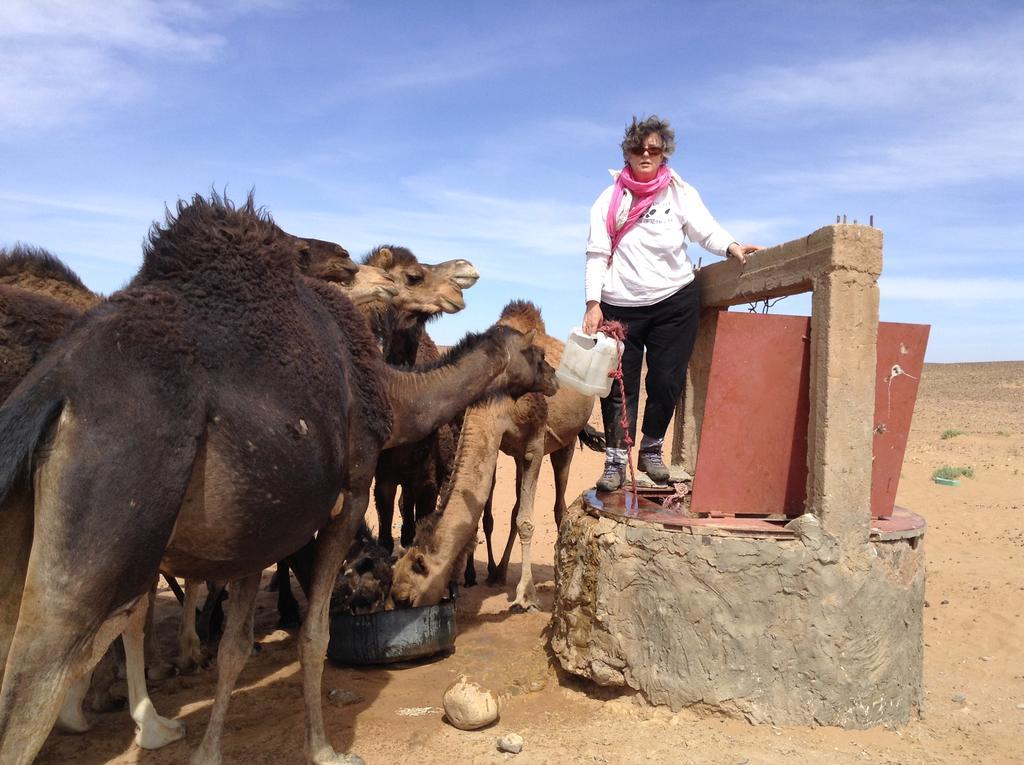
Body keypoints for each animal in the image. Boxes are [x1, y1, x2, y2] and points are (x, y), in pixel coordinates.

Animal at [0, 192, 557, 765]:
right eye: (532, 352)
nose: (554, 377)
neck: (389, 392)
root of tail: (55, 392)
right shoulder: (349, 495)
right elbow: (316, 634)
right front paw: (325, 749)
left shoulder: (258, 524)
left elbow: (235, 648)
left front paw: (209, 751)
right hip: (108, 529)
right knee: (34, 690)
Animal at [391, 303, 598, 614]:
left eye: (406, 599)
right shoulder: (498, 442)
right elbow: (495, 515)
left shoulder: (534, 445)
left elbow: (526, 521)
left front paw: (525, 596)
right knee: (514, 509)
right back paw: (499, 572)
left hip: (567, 441)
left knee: (559, 506)